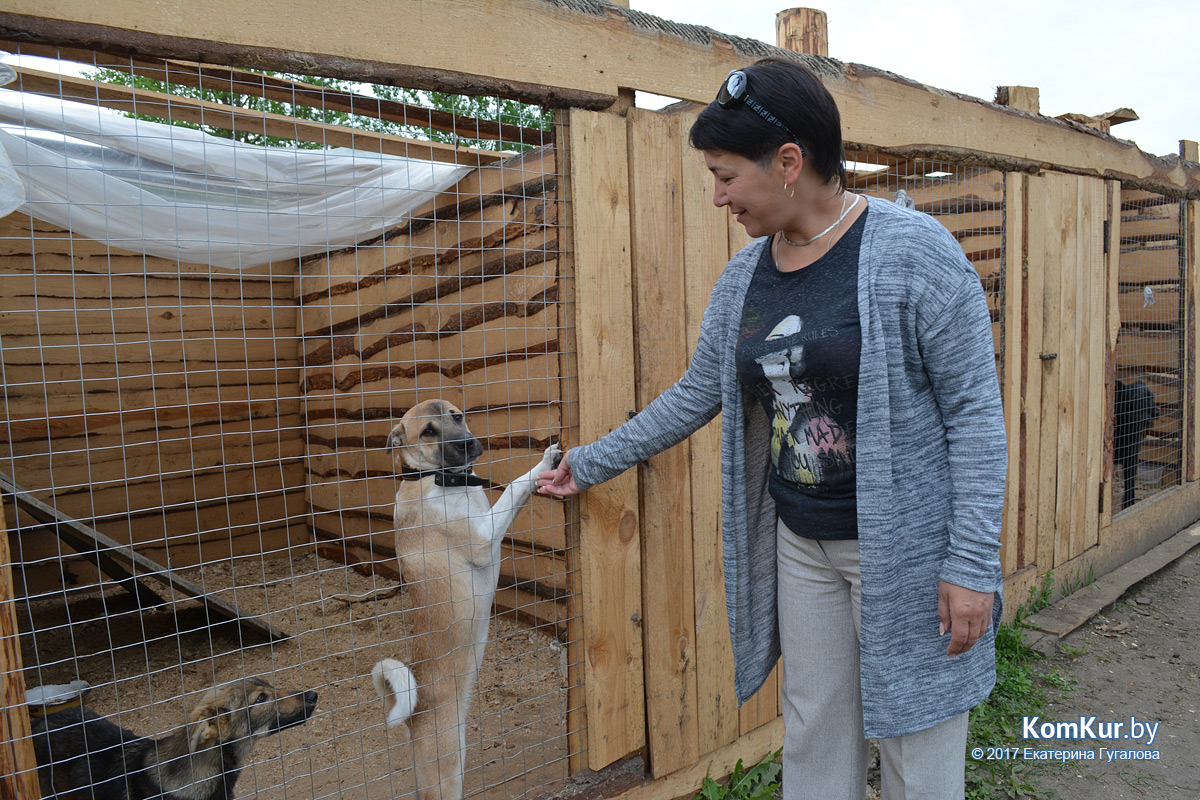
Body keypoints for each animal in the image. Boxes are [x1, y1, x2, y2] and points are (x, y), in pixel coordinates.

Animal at [372, 400, 559, 800]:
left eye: (456, 416)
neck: (435, 479)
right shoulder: (484, 538)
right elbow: (515, 486)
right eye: (427, 431)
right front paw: (541, 466)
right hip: (444, 775)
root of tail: (414, 715)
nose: (469, 444)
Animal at [1108, 379, 1156, 510]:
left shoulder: (1131, 458)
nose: (1156, 411)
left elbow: (1130, 485)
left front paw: (1129, 505)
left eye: (1152, 397)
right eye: (1137, 399)